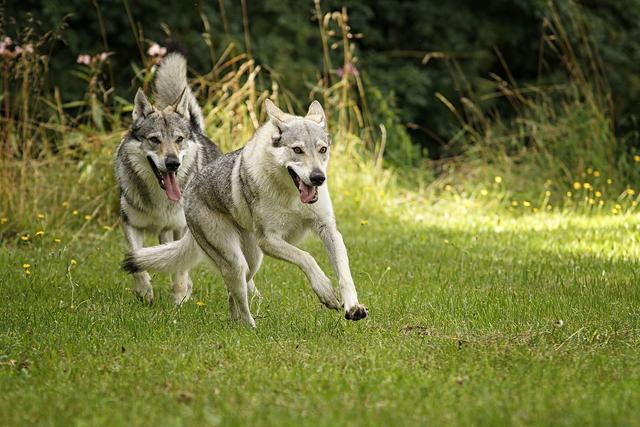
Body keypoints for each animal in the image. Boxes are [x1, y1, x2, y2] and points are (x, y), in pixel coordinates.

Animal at [115, 51, 222, 304]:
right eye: (155, 140)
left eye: (179, 139)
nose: (173, 163)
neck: (159, 198)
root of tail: (197, 130)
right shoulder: (131, 225)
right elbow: (138, 262)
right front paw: (145, 292)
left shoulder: (181, 228)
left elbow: (180, 269)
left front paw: (180, 299)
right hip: (165, 234)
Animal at [122, 100, 368, 328]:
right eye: (297, 150)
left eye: (322, 150)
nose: (318, 178)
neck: (292, 196)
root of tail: (190, 188)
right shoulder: (268, 240)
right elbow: (306, 257)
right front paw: (325, 291)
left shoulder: (329, 231)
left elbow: (345, 275)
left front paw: (353, 307)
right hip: (237, 261)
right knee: (239, 298)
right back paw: (251, 329)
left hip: (252, 262)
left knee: (233, 296)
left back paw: (237, 325)